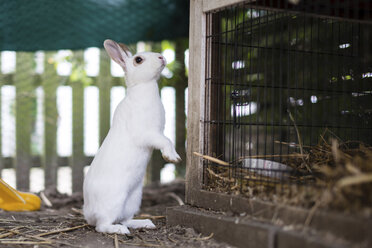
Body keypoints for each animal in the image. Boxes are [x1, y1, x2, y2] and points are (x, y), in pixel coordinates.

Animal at [83, 39, 182, 234]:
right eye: (138, 60)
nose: (162, 57)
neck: (143, 88)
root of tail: (88, 212)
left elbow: (168, 140)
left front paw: (174, 156)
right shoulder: (148, 134)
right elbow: (166, 141)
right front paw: (172, 157)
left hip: (133, 200)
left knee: (125, 219)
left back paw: (145, 223)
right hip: (114, 201)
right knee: (102, 225)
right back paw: (120, 230)